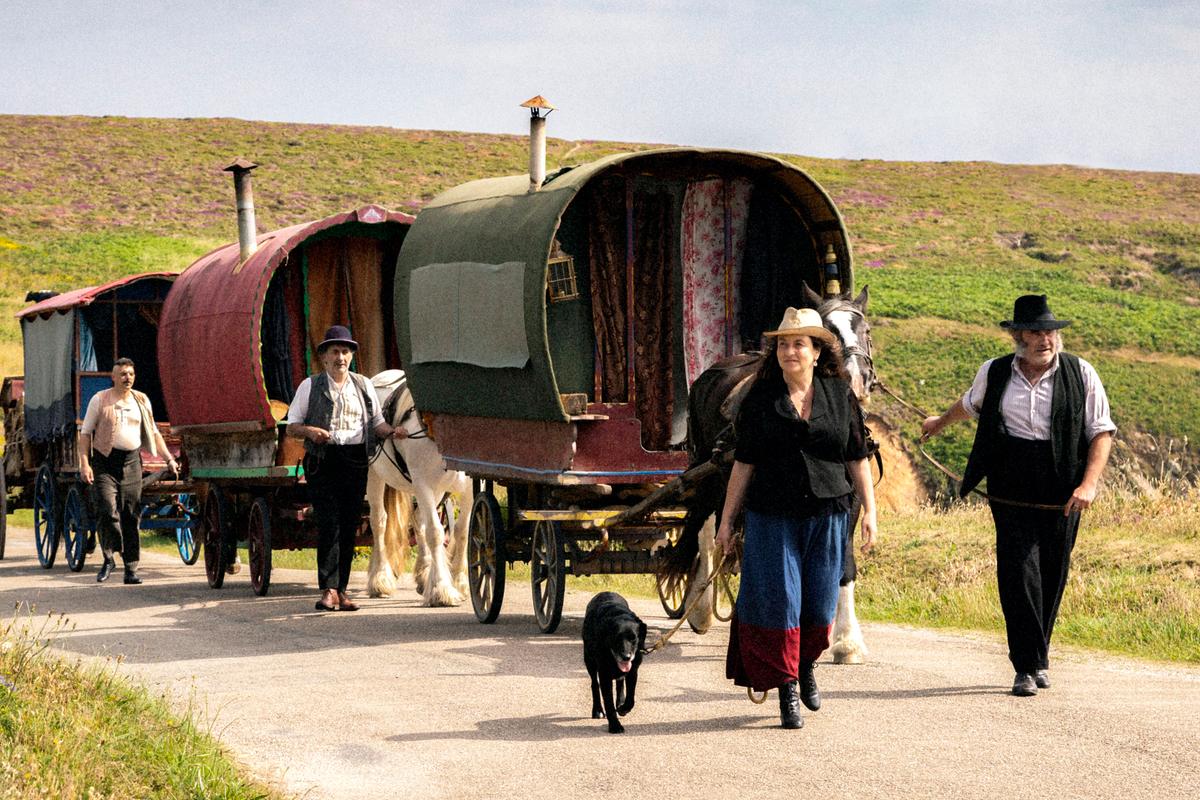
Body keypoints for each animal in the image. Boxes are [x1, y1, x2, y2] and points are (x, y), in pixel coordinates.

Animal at [364, 371, 472, 606]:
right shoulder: (423, 483)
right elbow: (435, 533)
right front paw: (441, 588)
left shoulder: (470, 486)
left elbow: (462, 531)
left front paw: (460, 582)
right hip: (375, 475)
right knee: (379, 521)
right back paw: (379, 579)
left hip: (435, 490)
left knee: (419, 521)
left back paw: (424, 572)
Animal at [580, 592, 648, 734]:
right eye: (616, 638)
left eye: (633, 638)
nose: (626, 657)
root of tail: (605, 592)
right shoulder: (604, 675)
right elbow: (609, 703)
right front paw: (615, 726)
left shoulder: (633, 671)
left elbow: (630, 698)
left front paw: (623, 708)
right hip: (589, 661)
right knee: (594, 685)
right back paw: (598, 710)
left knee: (620, 683)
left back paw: (620, 702)